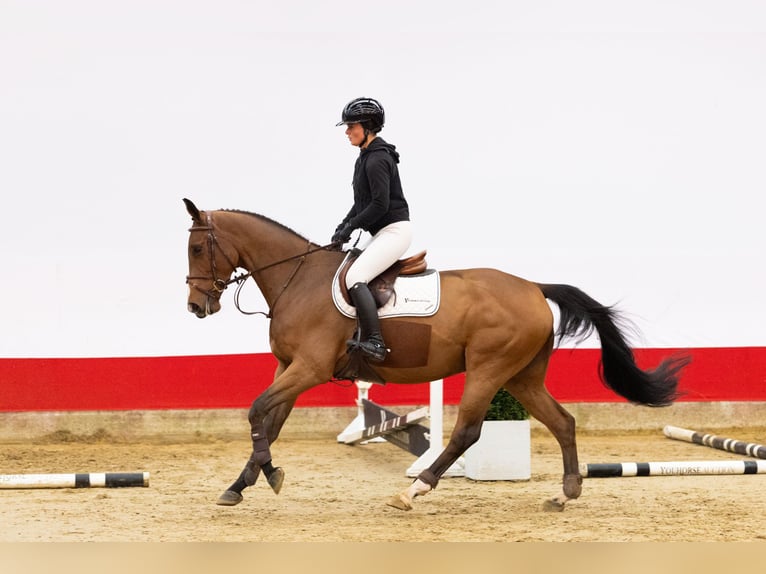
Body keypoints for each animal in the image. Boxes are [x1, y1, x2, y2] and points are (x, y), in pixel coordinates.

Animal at [182, 198, 689, 512]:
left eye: (196, 247)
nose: (196, 307)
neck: (298, 279)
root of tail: (533, 287)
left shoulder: (308, 368)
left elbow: (256, 411)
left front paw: (266, 475)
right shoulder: (288, 367)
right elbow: (268, 422)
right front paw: (243, 484)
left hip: (489, 369)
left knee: (467, 431)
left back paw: (413, 490)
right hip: (522, 376)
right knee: (562, 422)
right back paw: (565, 495)